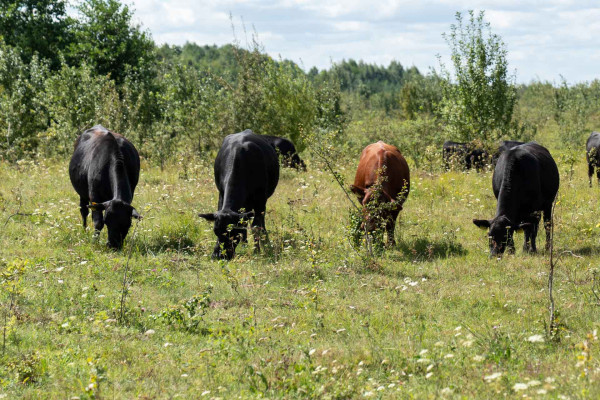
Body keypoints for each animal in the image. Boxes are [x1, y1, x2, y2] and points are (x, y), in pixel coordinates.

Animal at [199, 129, 278, 260]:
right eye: (215, 231)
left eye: (233, 232)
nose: (219, 255)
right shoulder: (221, 194)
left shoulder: (260, 200)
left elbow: (256, 226)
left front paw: (257, 251)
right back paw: (245, 243)